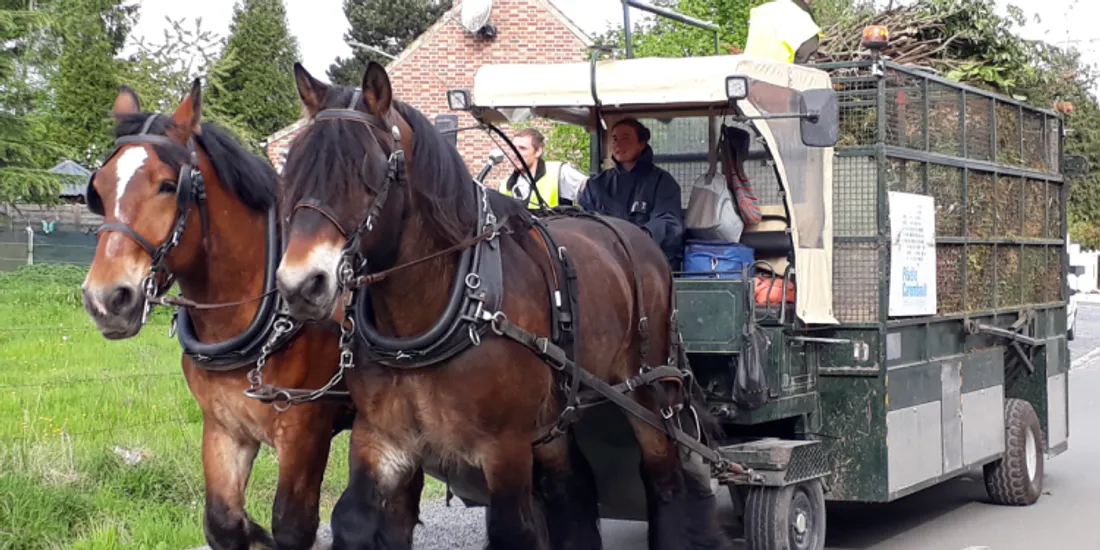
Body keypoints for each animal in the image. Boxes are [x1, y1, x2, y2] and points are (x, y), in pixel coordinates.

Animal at [80, 81, 369, 550]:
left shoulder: (305, 432)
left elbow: (292, 526)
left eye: (167, 186)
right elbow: (223, 522)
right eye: (100, 190)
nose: (106, 298)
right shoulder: (222, 428)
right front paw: (249, 530)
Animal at [271, 60, 733, 550]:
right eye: (292, 167)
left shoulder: (504, 447)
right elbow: (354, 519)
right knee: (570, 485)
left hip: (647, 391)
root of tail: (640, 239)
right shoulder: (381, 437)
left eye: (370, 170)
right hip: (554, 417)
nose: (300, 283)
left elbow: (513, 529)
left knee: (665, 478)